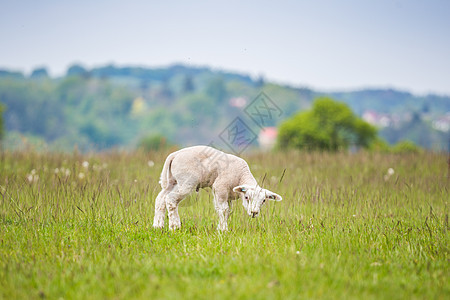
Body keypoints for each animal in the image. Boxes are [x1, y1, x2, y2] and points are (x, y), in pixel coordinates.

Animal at [153, 145, 284, 230]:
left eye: (264, 201)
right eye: (247, 197)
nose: (254, 213)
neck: (241, 176)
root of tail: (174, 155)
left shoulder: (227, 195)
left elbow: (226, 210)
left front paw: (221, 227)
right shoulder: (220, 187)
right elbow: (224, 209)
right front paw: (223, 229)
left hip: (172, 181)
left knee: (161, 198)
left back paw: (158, 225)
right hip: (186, 181)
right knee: (171, 199)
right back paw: (175, 226)